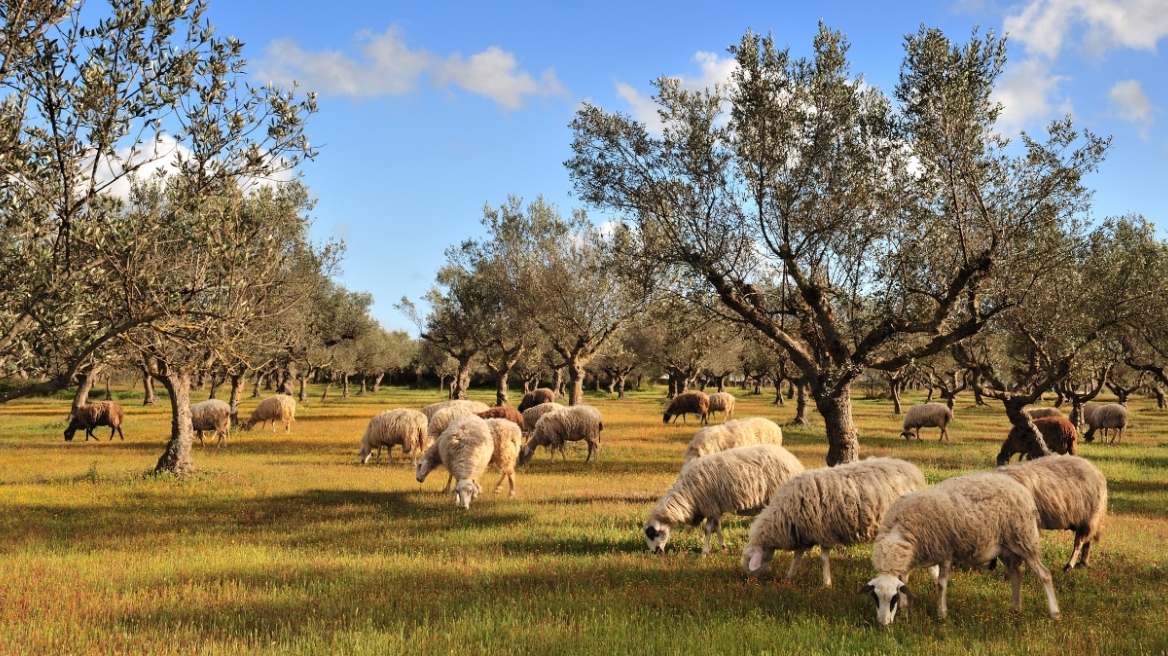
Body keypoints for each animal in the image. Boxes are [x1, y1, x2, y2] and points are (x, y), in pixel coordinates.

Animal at [644, 441, 808, 553]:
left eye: (652, 534)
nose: (655, 552)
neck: (687, 495)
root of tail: (794, 462)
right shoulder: (715, 507)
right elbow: (717, 527)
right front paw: (722, 547)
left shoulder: (709, 505)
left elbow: (707, 530)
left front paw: (704, 553)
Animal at [742, 455, 925, 588]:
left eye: (749, 558)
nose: (746, 579)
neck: (785, 514)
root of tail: (914, 471)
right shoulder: (803, 532)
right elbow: (797, 556)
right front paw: (790, 576)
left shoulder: (824, 533)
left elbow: (823, 559)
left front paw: (826, 583)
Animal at [864, 469, 1065, 620]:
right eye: (875, 597)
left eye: (893, 598)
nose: (883, 624)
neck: (900, 530)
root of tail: (1022, 489)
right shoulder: (913, 557)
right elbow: (905, 580)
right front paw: (905, 611)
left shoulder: (945, 552)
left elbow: (941, 584)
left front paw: (941, 614)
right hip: (1006, 548)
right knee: (1016, 574)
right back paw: (1015, 608)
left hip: (1024, 539)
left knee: (1044, 574)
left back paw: (1054, 613)